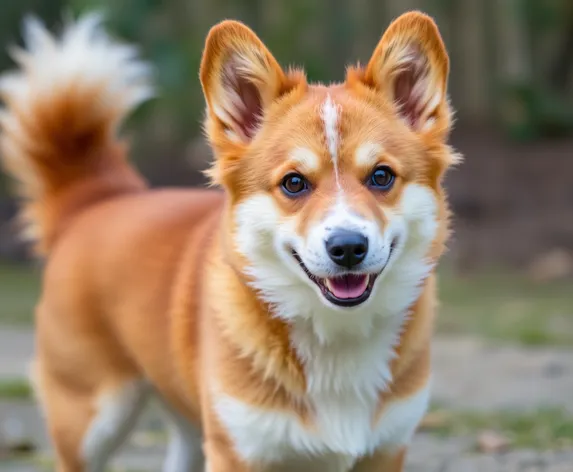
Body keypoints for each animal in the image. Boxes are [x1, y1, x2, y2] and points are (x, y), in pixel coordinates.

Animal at [0, 10, 458, 472]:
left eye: (381, 176)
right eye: (294, 183)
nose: (347, 248)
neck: (334, 332)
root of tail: (96, 198)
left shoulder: (386, 449)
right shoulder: (237, 449)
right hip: (93, 419)